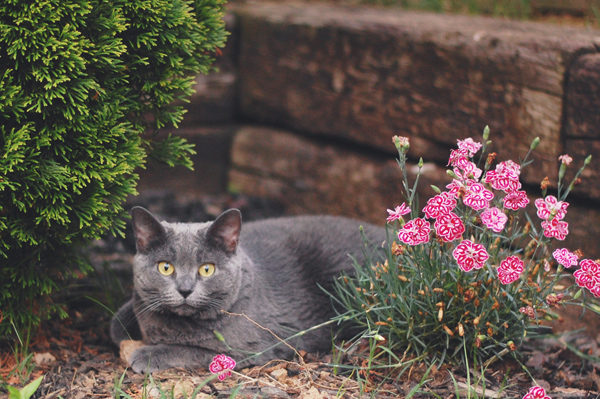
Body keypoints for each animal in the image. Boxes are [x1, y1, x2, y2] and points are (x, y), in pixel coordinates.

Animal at [110, 208, 386, 374]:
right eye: (165, 267)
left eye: (207, 269)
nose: (185, 289)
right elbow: (118, 320)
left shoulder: (250, 349)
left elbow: (193, 350)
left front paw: (147, 354)